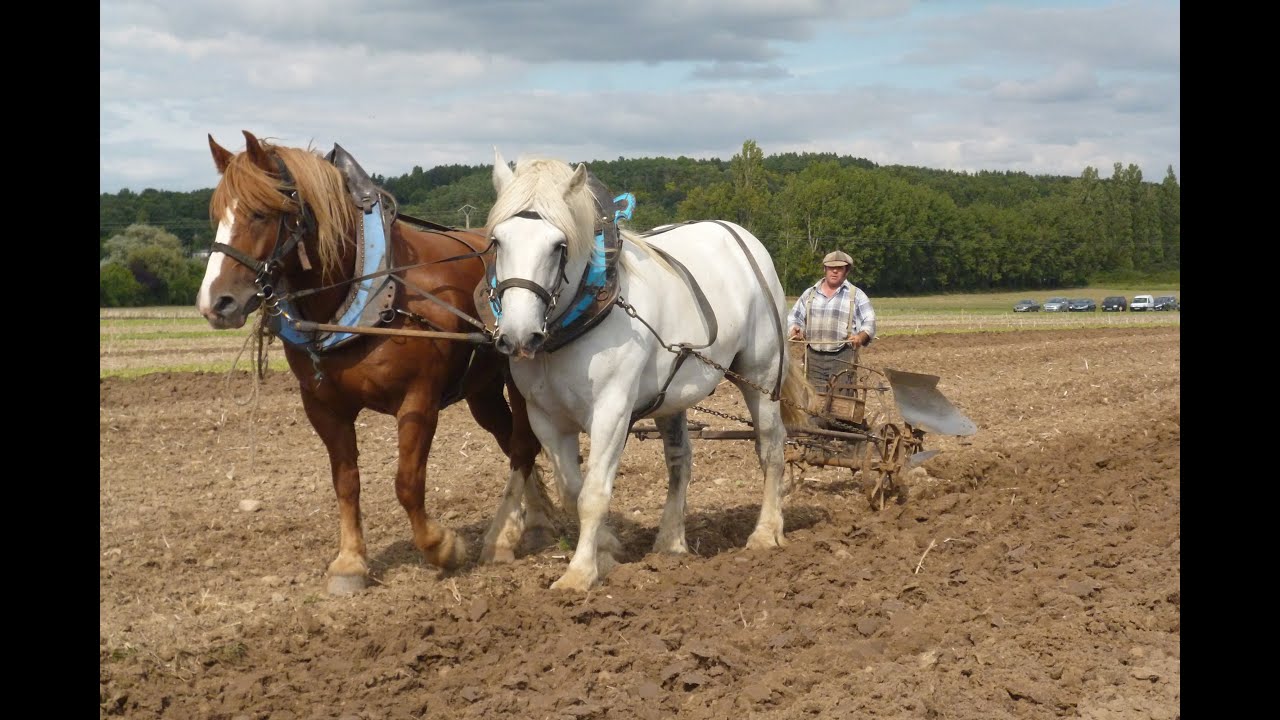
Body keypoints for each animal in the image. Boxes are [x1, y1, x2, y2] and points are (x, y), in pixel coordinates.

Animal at [196, 130, 556, 595]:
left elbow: (407, 483)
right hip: (483, 391)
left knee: (524, 444)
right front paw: (350, 562)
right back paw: (531, 521)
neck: (364, 291)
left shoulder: (418, 401)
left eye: (260, 213)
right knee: (511, 441)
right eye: (217, 214)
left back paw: (516, 533)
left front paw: (442, 546)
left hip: (519, 379)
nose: (214, 303)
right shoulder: (323, 407)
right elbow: (346, 482)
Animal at [484, 150, 813, 591]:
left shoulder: (612, 412)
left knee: (771, 448)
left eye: (558, 245)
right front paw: (607, 548)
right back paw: (671, 542)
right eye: (497, 241)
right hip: (673, 396)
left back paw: (765, 532)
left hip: (761, 375)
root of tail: (741, 236)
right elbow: (571, 490)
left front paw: (579, 574)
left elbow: (593, 494)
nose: (518, 335)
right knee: (680, 461)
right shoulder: (544, 418)